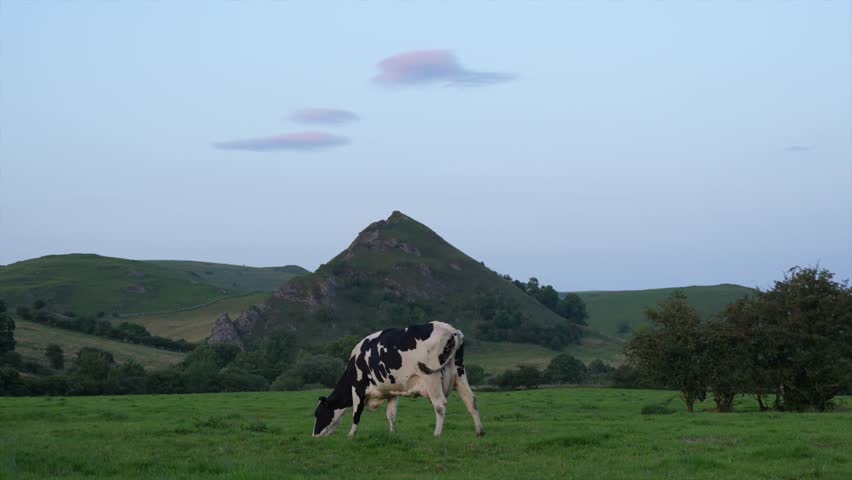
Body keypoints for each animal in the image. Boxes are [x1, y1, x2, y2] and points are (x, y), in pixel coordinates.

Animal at [312, 321, 485, 438]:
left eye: (318, 413)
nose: (314, 436)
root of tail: (452, 331)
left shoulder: (358, 388)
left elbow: (356, 413)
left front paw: (351, 435)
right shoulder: (391, 391)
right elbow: (391, 414)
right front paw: (393, 432)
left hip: (431, 377)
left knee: (440, 404)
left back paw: (437, 434)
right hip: (459, 372)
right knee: (471, 399)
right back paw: (479, 431)